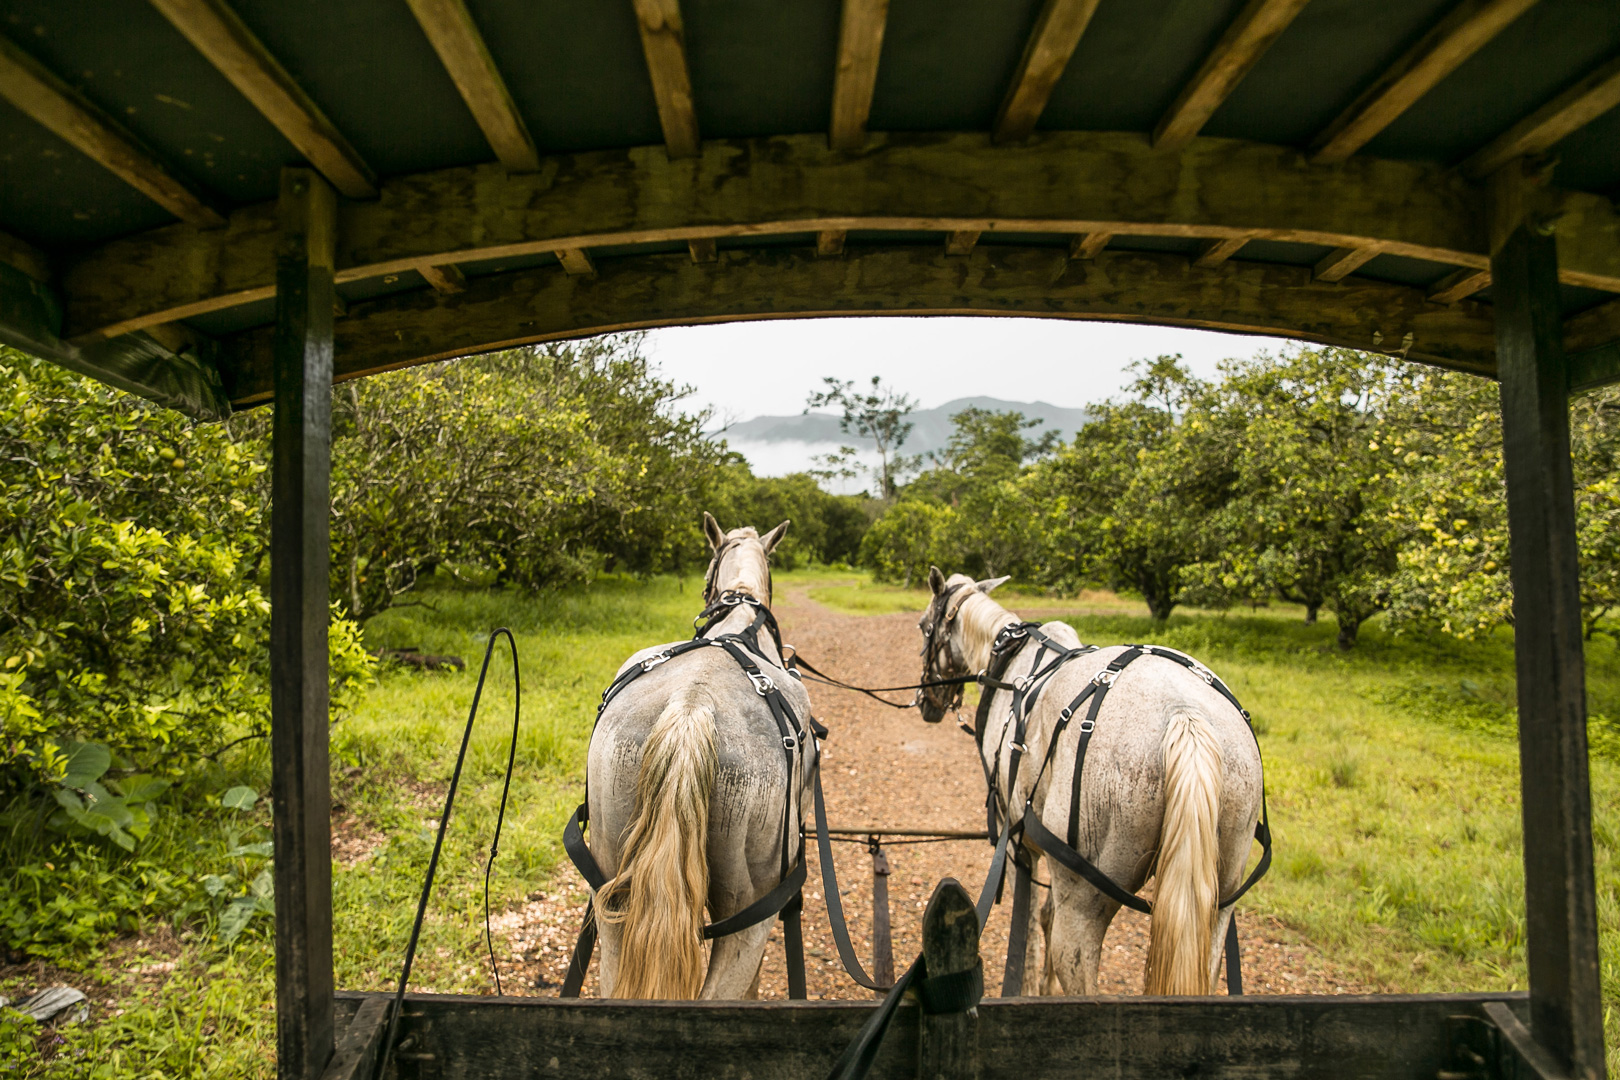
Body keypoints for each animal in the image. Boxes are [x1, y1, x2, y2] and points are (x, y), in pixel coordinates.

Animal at [920, 569, 1257, 1003]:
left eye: (924, 627)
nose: (925, 702)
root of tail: (1186, 716)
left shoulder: (1018, 841)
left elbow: (1027, 927)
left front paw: (1028, 989)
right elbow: (1045, 915)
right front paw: (1044, 988)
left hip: (1084, 904)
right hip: (1218, 903)